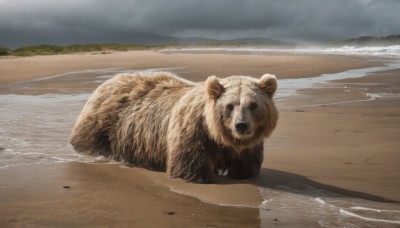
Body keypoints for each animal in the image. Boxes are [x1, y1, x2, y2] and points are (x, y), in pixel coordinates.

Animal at [71, 72, 278, 183]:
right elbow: (189, 165)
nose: (241, 125)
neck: (219, 135)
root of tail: (103, 84)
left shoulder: (249, 145)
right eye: (230, 105)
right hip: (102, 128)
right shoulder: (193, 132)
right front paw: (198, 177)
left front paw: (242, 174)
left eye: (253, 105)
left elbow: (247, 166)